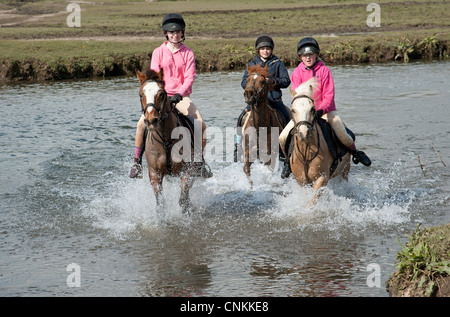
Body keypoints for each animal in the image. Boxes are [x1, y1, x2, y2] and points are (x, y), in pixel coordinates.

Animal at [136, 68, 198, 214]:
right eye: (141, 95)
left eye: (161, 94)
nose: (151, 121)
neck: (166, 139)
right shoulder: (155, 173)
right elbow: (160, 204)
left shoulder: (188, 171)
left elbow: (183, 200)